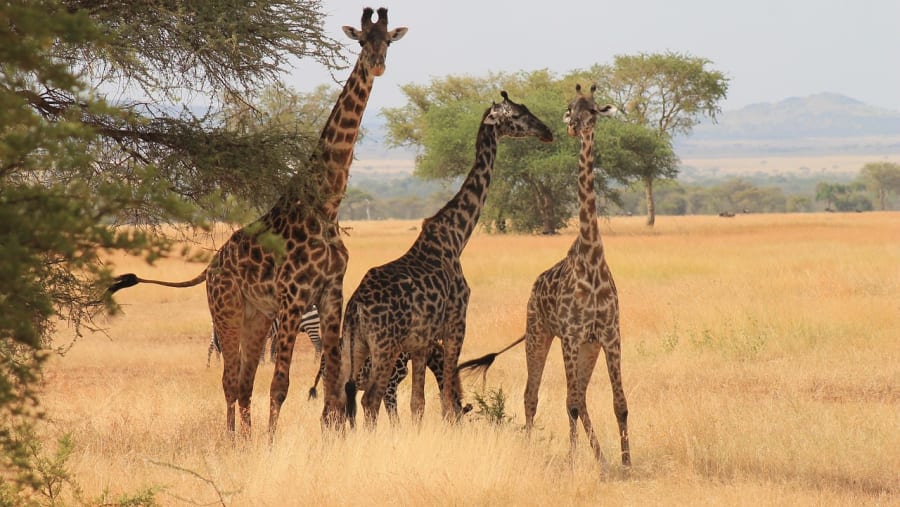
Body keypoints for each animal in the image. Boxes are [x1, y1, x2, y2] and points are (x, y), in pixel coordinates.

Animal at [107, 8, 407, 438]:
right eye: (363, 40)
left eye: (388, 41)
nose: (378, 64)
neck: (326, 206)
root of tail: (210, 267)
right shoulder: (294, 295)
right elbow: (281, 383)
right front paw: (271, 441)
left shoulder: (330, 293)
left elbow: (333, 382)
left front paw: (329, 436)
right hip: (226, 308)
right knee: (230, 380)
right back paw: (235, 440)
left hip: (256, 316)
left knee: (245, 381)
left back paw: (244, 438)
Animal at [342, 92, 553, 427]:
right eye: (518, 115)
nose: (547, 131)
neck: (456, 238)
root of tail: (356, 308)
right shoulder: (455, 324)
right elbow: (447, 401)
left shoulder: (421, 341)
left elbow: (418, 403)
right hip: (384, 345)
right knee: (370, 399)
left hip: (356, 346)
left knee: (341, 400)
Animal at [457, 84, 630, 468]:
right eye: (570, 107)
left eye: (593, 110)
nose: (573, 126)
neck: (592, 262)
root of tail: (534, 288)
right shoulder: (570, 335)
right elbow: (570, 404)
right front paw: (573, 463)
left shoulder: (609, 335)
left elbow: (619, 404)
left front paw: (628, 464)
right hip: (539, 332)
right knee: (534, 395)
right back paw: (536, 450)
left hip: (587, 346)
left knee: (580, 396)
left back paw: (602, 460)